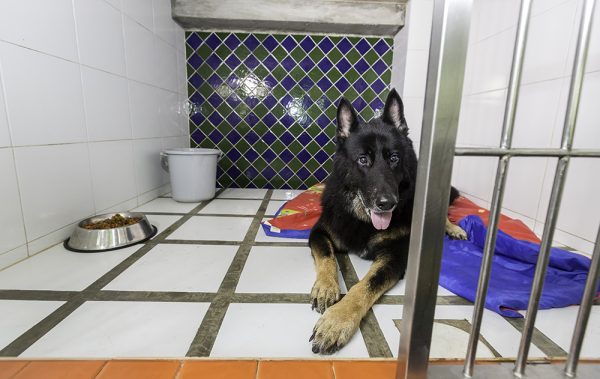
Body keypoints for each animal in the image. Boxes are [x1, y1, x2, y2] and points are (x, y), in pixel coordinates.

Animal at [308, 90, 466, 356]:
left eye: (394, 158)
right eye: (363, 160)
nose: (387, 203)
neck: (363, 220)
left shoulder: (395, 257)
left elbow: (363, 286)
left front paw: (336, 321)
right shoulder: (319, 232)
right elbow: (327, 256)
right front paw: (326, 287)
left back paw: (453, 228)